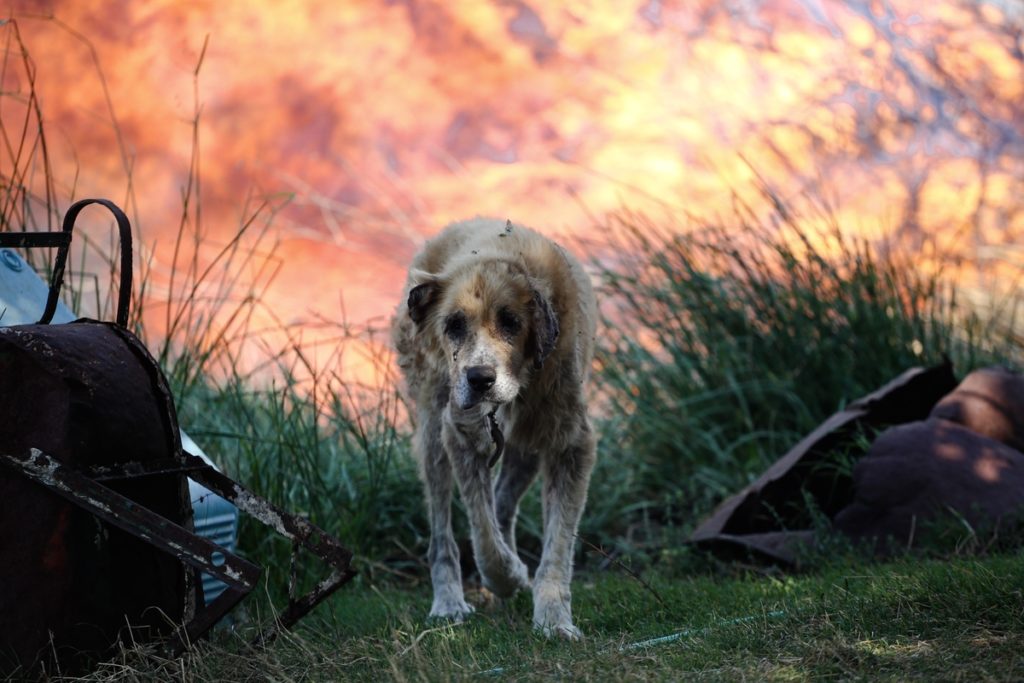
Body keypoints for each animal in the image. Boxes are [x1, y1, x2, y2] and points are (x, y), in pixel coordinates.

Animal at [391, 218, 598, 634]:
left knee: (502, 502)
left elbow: (557, 544)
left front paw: (553, 617)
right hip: (433, 435)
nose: (479, 379)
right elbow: (482, 532)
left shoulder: (570, 444)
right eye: (454, 325)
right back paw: (449, 601)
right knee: (443, 535)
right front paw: (507, 577)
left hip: (527, 449)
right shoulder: (460, 435)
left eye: (511, 322)